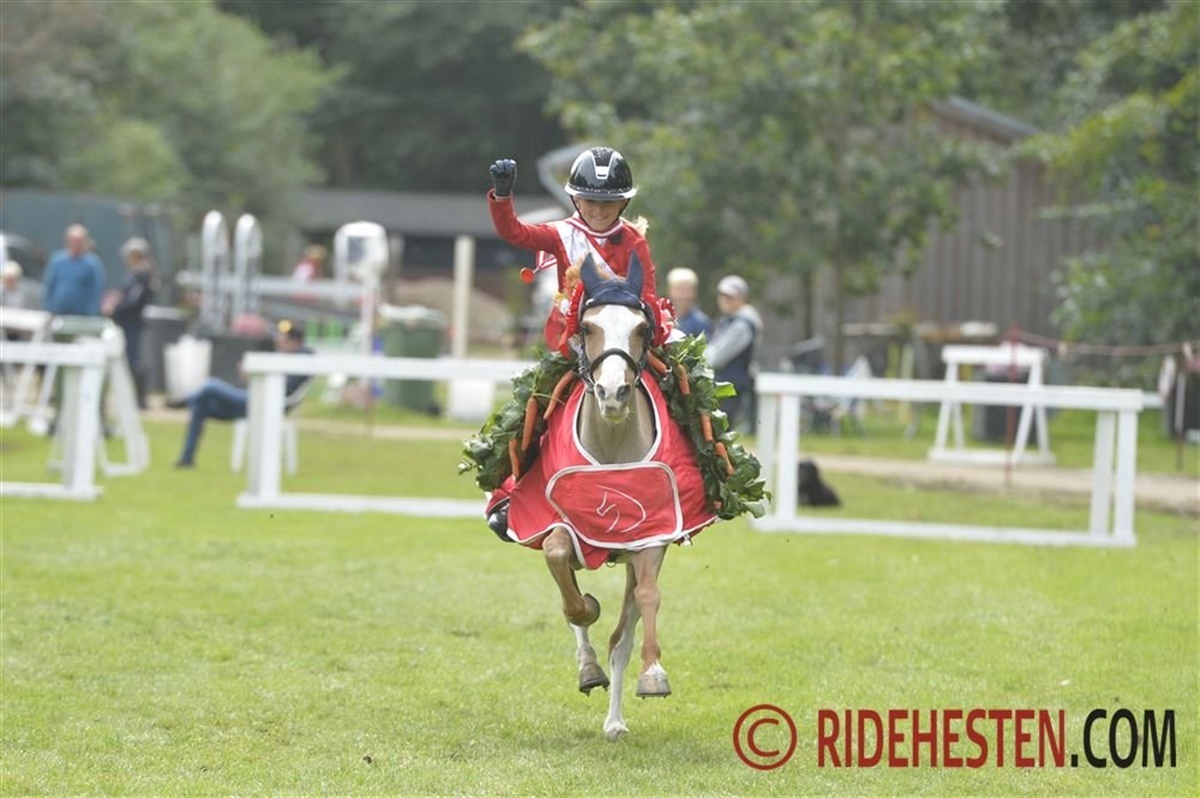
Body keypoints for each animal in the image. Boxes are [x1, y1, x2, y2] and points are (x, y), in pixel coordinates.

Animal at [506, 252, 716, 741]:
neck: (613, 447)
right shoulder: (557, 524)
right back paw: (588, 666)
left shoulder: (651, 535)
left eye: (641, 329)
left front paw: (654, 673)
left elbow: (647, 598)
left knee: (624, 630)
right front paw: (586, 614)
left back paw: (615, 720)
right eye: (586, 327)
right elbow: (562, 571)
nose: (613, 393)